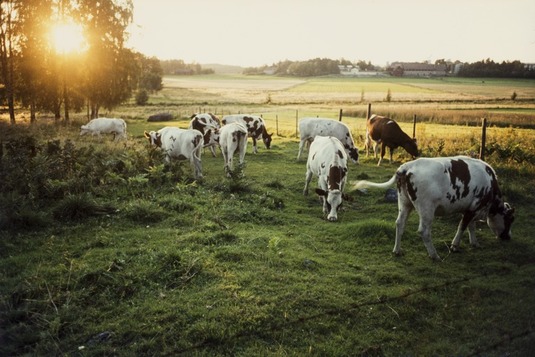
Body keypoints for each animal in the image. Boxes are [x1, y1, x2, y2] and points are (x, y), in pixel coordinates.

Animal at [356, 155, 516, 258]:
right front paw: (455, 246)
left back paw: (397, 250)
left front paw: (474, 243)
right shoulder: (474, 206)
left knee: (400, 224)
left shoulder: (470, 208)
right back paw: (434, 255)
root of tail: (407, 167)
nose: (508, 237)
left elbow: (471, 226)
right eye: (510, 219)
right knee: (424, 231)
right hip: (427, 209)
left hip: (404, 203)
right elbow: (463, 225)